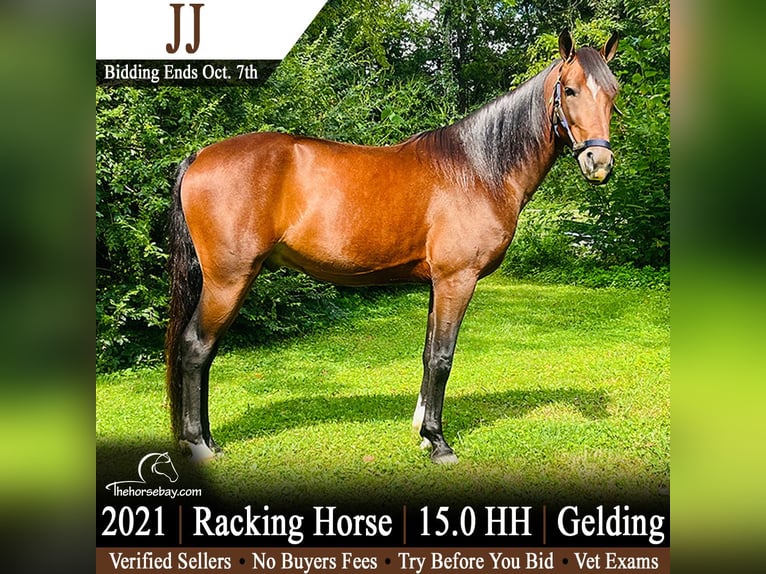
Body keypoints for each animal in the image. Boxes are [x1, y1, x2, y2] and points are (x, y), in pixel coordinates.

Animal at [165, 31, 620, 464]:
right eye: (570, 90)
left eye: (613, 93)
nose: (599, 163)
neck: (478, 169)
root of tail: (199, 156)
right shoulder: (457, 280)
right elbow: (442, 357)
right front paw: (438, 442)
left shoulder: (438, 284)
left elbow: (427, 353)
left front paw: (421, 431)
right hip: (229, 280)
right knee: (196, 348)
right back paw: (199, 445)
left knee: (205, 352)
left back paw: (208, 439)